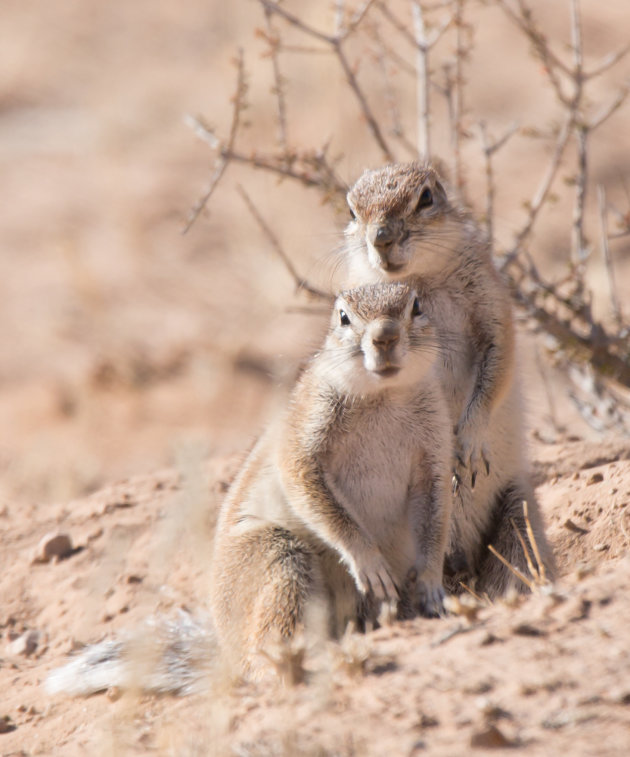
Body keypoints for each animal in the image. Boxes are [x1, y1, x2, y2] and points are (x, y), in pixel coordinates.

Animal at [212, 280, 454, 672]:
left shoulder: (435, 450)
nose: (385, 336)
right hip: (278, 559)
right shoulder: (306, 431)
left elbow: (436, 517)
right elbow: (317, 496)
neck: (384, 396)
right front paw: (368, 560)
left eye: (416, 306)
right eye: (342, 316)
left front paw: (432, 582)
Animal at [344, 159, 556, 596]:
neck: (421, 281)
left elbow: (497, 367)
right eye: (351, 211)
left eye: (425, 197)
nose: (381, 238)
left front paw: (470, 443)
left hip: (517, 508)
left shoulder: (493, 303)